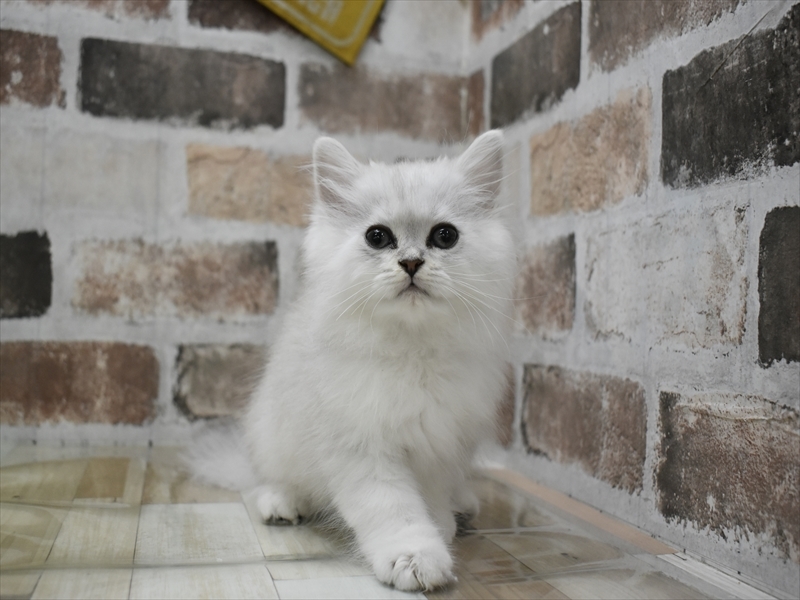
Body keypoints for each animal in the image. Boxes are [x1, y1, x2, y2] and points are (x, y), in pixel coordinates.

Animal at [191, 130, 516, 591]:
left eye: (445, 236)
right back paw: (281, 503)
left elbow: (430, 502)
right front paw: (415, 559)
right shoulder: (363, 449)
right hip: (273, 437)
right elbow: (394, 511)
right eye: (377, 237)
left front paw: (441, 528)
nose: (411, 262)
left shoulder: (439, 446)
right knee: (274, 481)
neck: (412, 348)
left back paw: (463, 506)